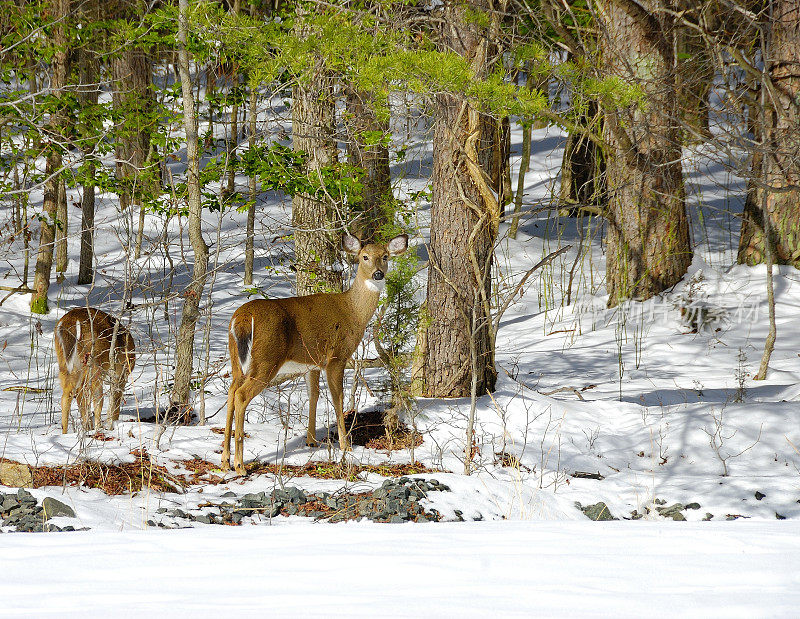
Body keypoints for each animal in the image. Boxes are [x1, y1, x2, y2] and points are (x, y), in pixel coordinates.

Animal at [223, 232, 410, 474]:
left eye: (385, 256)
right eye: (365, 257)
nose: (378, 273)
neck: (353, 313)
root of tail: (242, 318)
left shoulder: (312, 363)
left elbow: (314, 395)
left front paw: (311, 440)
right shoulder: (337, 356)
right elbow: (338, 399)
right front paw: (345, 445)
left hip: (237, 359)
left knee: (230, 391)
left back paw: (224, 460)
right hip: (266, 359)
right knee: (241, 395)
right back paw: (239, 465)